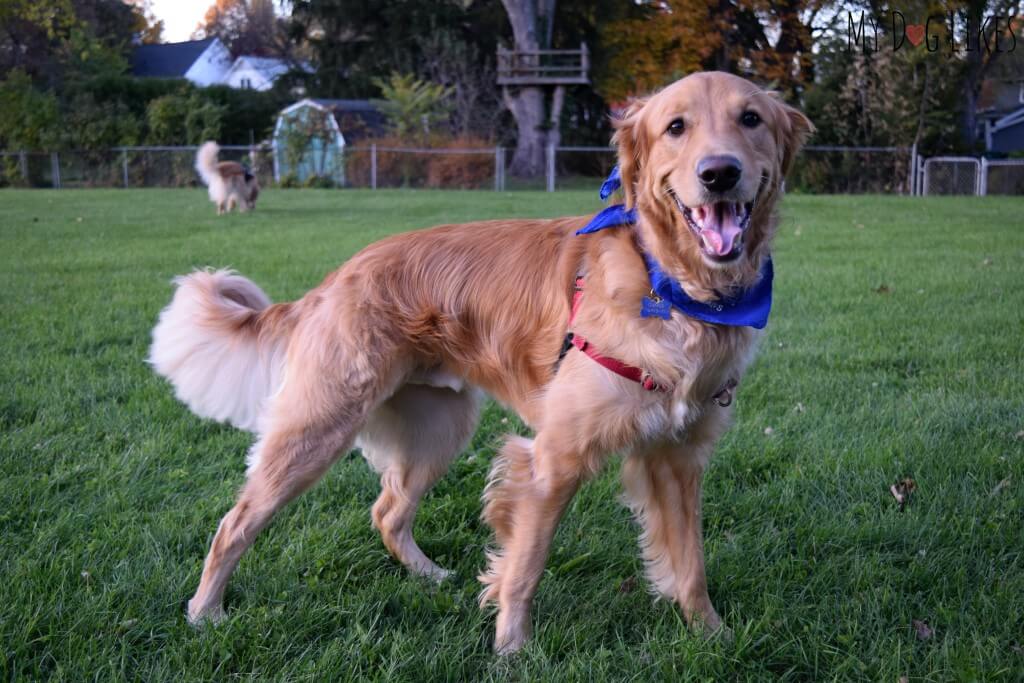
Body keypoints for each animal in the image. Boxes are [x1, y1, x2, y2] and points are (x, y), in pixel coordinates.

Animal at [149, 72, 806, 655]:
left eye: (751, 119)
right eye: (675, 127)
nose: (719, 173)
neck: (673, 288)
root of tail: (335, 278)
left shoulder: (677, 457)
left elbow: (690, 562)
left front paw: (712, 635)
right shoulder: (550, 460)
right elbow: (525, 564)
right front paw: (512, 648)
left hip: (440, 428)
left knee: (387, 511)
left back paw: (428, 576)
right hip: (317, 428)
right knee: (235, 523)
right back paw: (205, 612)